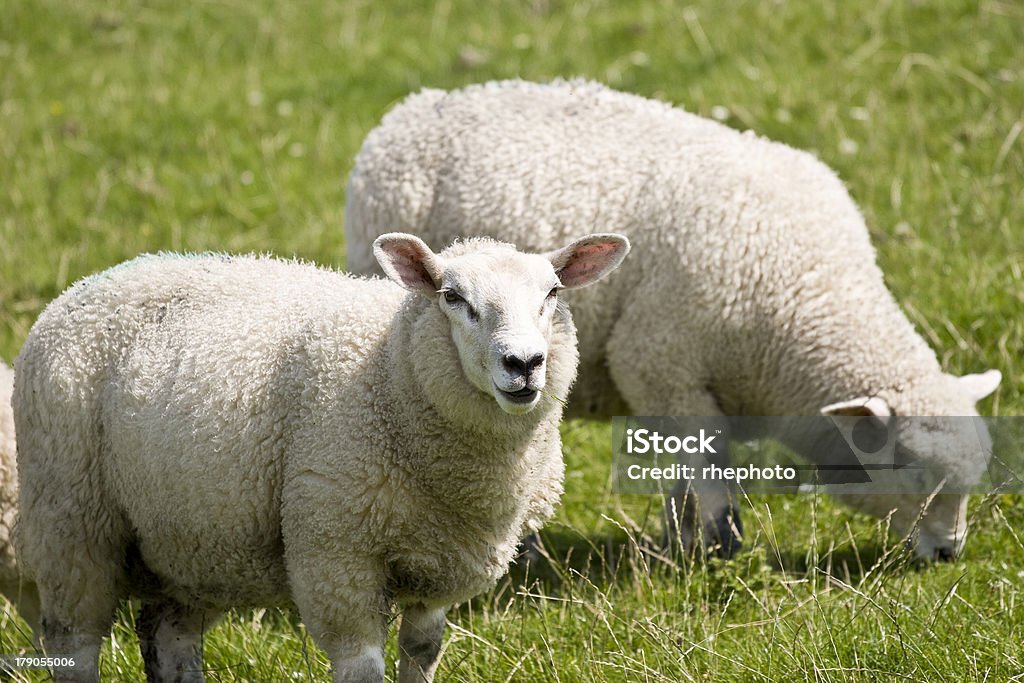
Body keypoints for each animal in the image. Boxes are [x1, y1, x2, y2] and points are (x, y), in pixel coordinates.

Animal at [12, 231, 626, 683]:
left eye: (552, 294)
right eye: (452, 297)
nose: (523, 364)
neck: (389, 371)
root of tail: (93, 281)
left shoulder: (443, 566)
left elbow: (422, 653)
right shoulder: (335, 550)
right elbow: (361, 669)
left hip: (190, 540)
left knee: (168, 636)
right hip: (73, 520)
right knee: (73, 642)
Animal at [344, 78, 999, 561]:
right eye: (913, 472)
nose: (948, 555)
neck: (805, 295)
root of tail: (412, 108)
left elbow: (685, 471)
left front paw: (679, 541)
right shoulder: (661, 364)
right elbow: (707, 469)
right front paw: (718, 550)